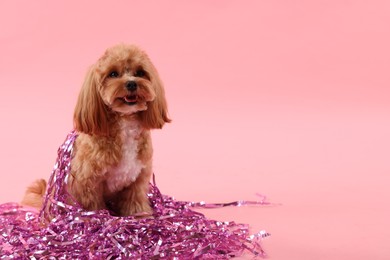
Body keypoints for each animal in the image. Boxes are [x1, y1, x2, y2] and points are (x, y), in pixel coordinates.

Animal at [21, 44, 171, 215]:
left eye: (140, 72)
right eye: (113, 74)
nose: (132, 83)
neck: (125, 123)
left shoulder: (137, 179)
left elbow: (135, 202)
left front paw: (140, 216)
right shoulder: (87, 182)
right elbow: (93, 206)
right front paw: (95, 217)